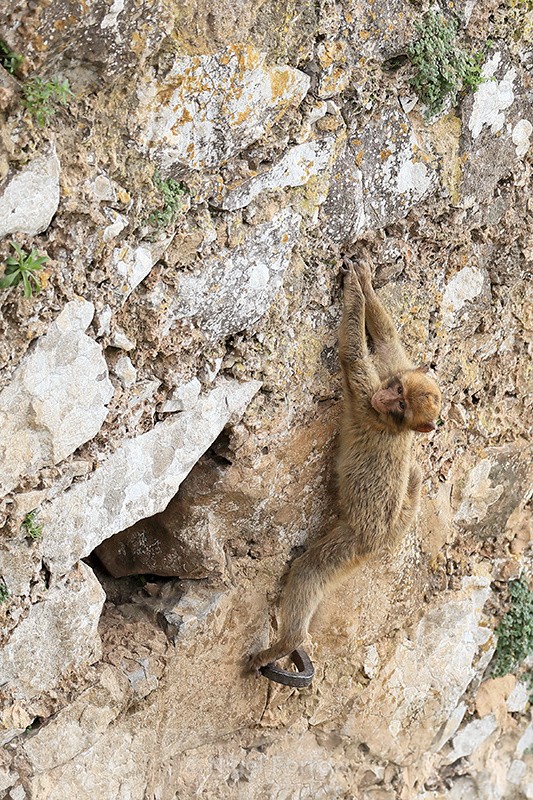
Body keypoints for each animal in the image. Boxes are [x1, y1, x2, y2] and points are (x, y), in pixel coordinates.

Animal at [249, 255, 441, 673]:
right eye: (399, 391)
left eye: (401, 405)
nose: (387, 398)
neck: (389, 421)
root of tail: (381, 540)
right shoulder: (389, 372)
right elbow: (385, 340)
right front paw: (366, 285)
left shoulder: (366, 396)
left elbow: (353, 356)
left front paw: (353, 289)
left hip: (351, 544)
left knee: (311, 569)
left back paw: (288, 641)